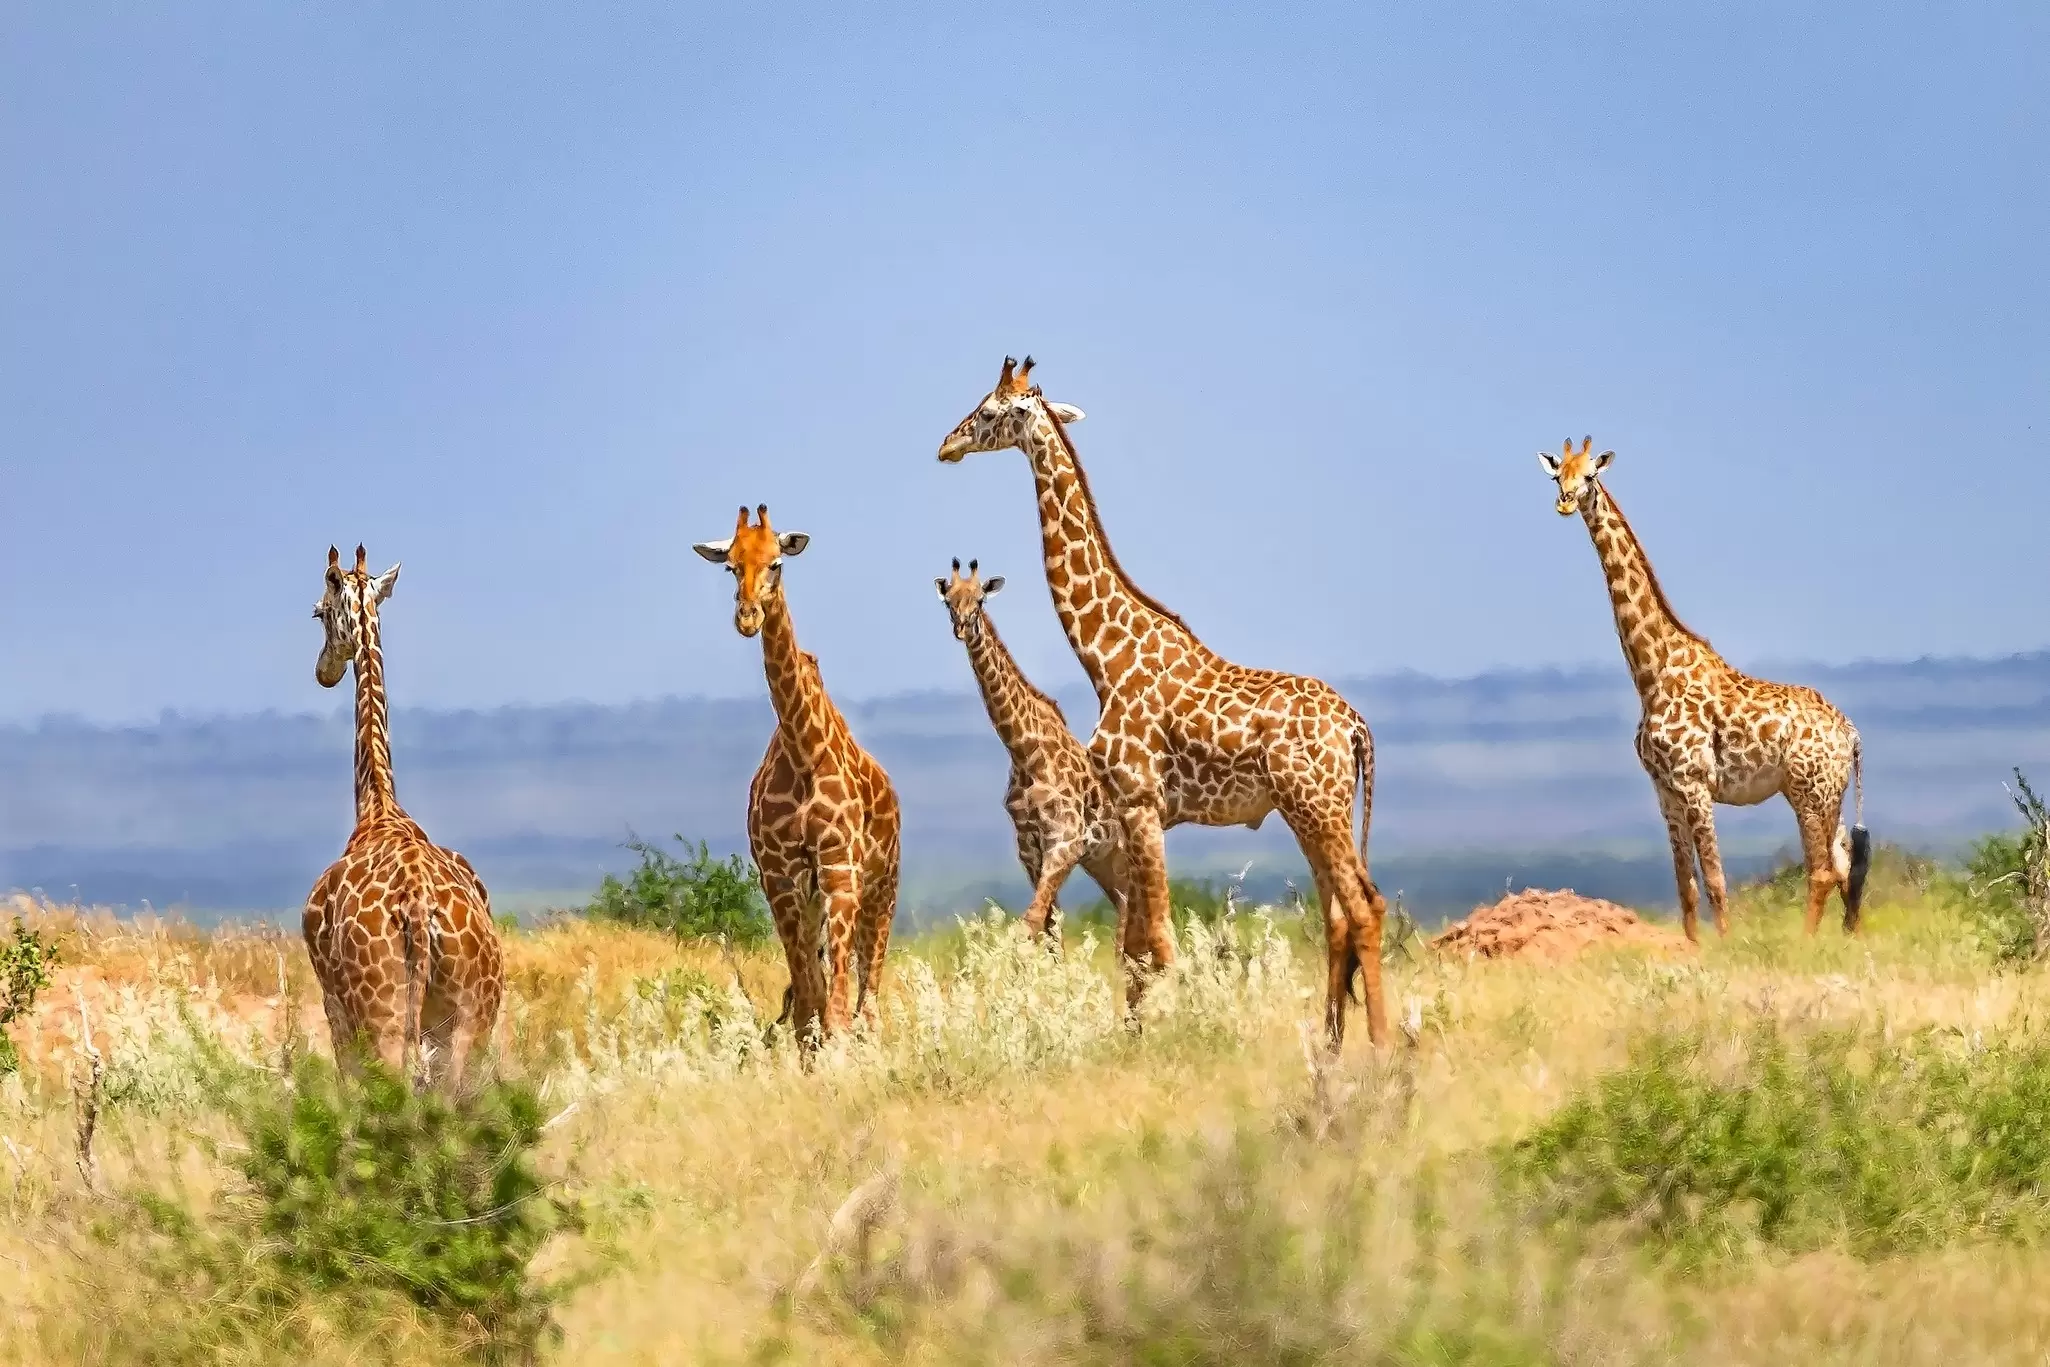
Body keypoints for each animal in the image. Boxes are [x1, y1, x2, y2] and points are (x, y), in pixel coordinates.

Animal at [303, 545, 504, 1089]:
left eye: (318, 612)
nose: (323, 671)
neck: (379, 807)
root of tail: (417, 906)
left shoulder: (335, 1010)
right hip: (470, 1021)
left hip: (383, 1017)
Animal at [693, 505, 900, 1045]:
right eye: (731, 567)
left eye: (776, 563)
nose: (747, 618)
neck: (803, 749)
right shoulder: (781, 877)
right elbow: (809, 1005)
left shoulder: (839, 869)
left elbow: (838, 1009)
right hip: (813, 901)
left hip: (882, 888)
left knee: (868, 999)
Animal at [936, 557, 1131, 968]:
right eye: (948, 600)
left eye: (980, 600)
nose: (962, 628)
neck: (1025, 751)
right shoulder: (1029, 845)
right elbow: (1049, 926)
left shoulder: (1066, 840)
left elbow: (1030, 923)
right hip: (1108, 863)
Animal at [1539, 437, 1870, 940]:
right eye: (1559, 475)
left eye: (1590, 476)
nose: (1564, 502)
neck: (1651, 672)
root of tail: (1850, 732)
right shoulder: (1665, 790)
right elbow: (1686, 886)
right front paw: (1693, 946)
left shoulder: (1694, 783)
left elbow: (1715, 880)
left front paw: (1727, 945)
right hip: (1826, 792)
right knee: (1845, 866)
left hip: (1809, 793)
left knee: (1821, 870)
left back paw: (1807, 944)